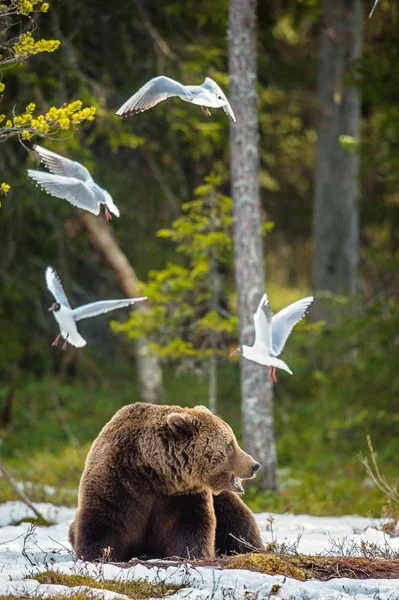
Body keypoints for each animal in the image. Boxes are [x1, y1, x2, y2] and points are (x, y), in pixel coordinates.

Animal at [70, 404, 264, 564]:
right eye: (230, 444)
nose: (255, 465)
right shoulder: (118, 481)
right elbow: (103, 522)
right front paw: (99, 556)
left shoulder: (181, 496)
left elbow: (190, 525)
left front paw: (191, 555)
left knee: (237, 518)